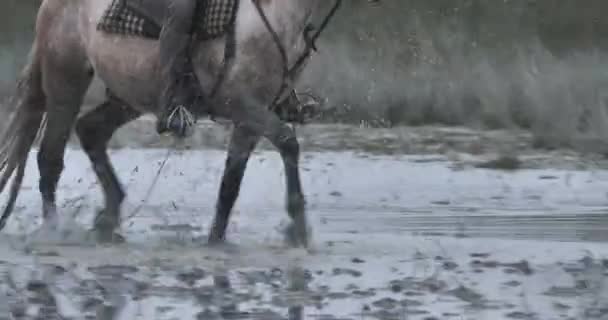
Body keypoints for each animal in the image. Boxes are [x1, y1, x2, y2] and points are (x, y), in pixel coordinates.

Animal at [0, 0, 352, 246]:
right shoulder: (240, 103)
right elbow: (288, 142)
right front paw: (299, 230)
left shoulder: (252, 116)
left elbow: (230, 184)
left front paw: (216, 241)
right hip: (66, 78)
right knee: (50, 157)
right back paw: (55, 231)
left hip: (131, 95)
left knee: (91, 129)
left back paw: (109, 215)